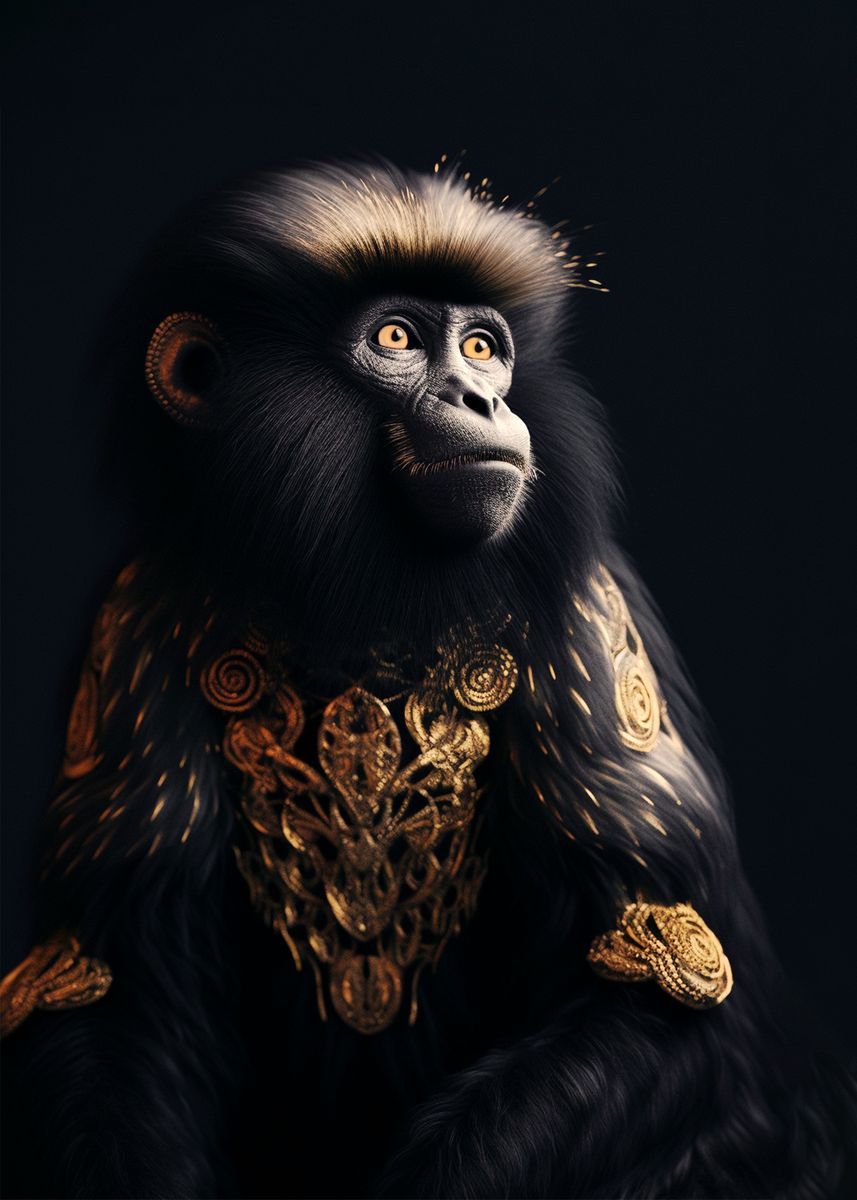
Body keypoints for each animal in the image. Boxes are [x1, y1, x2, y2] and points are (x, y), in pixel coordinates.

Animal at [1, 159, 853, 1200]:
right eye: (398, 338)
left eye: (482, 348)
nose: (483, 401)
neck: (356, 604)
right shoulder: (129, 625)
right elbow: (105, 992)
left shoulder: (587, 614)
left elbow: (664, 973)